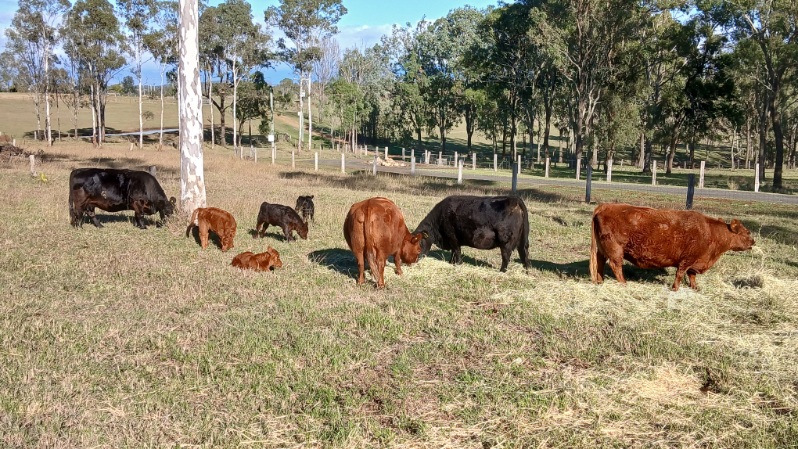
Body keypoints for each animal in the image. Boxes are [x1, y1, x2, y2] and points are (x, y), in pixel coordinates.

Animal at [590, 203, 755, 291]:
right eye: (746, 232)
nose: (753, 242)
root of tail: (605, 206)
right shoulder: (687, 260)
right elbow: (680, 274)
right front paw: (675, 288)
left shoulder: (694, 262)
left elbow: (692, 275)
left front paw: (695, 288)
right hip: (615, 250)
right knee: (615, 266)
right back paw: (624, 284)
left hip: (602, 249)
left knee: (600, 263)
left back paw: (600, 281)